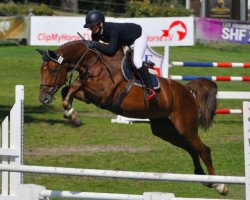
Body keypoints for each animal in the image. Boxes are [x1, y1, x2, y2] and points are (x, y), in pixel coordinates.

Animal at [36, 39, 229, 195]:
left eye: (53, 71)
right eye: (41, 70)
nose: (43, 98)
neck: (93, 62)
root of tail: (188, 92)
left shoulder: (103, 94)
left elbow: (76, 85)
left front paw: (71, 113)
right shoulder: (93, 96)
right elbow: (67, 90)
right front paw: (72, 115)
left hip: (186, 127)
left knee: (204, 150)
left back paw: (220, 185)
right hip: (165, 130)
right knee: (191, 149)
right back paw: (203, 178)